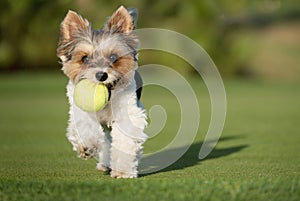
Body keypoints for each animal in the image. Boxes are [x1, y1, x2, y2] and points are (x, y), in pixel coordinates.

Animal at [56, 5, 148, 178]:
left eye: (113, 57)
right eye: (84, 59)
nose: (101, 75)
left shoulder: (128, 114)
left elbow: (125, 140)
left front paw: (123, 171)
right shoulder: (79, 109)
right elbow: (85, 125)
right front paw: (87, 146)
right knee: (105, 141)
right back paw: (104, 163)